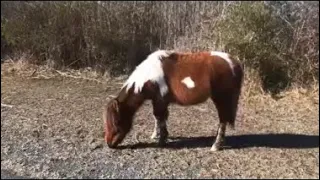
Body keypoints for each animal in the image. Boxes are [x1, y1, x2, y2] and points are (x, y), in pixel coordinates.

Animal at [104, 50, 244, 151]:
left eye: (116, 121)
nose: (109, 144)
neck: (149, 75)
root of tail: (234, 62)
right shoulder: (159, 101)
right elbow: (159, 118)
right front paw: (156, 135)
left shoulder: (160, 101)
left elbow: (159, 118)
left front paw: (161, 141)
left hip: (221, 99)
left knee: (223, 120)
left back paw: (216, 145)